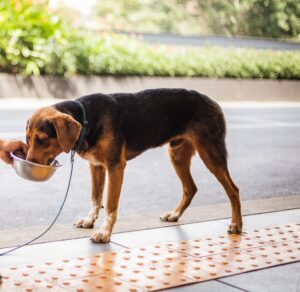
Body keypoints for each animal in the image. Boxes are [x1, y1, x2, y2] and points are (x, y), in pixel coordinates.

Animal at [25, 88, 241, 242]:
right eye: (27, 139)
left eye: (42, 140)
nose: (28, 164)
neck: (88, 119)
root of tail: (213, 102)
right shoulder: (96, 166)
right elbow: (96, 198)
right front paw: (89, 221)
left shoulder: (115, 167)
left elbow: (110, 205)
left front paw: (104, 233)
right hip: (177, 154)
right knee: (190, 188)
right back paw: (174, 215)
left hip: (211, 154)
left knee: (233, 190)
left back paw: (236, 225)